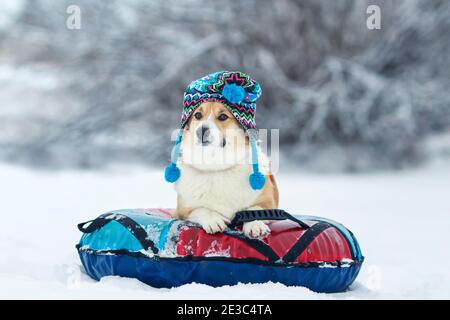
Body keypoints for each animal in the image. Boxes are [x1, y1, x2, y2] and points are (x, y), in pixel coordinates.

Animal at [171, 101, 280, 239]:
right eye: (198, 115)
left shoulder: (269, 203)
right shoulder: (183, 209)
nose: (201, 131)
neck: (217, 166)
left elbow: (254, 210)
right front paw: (213, 219)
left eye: (223, 116)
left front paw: (255, 224)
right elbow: (201, 209)